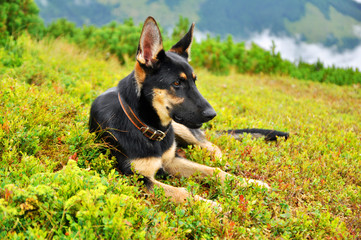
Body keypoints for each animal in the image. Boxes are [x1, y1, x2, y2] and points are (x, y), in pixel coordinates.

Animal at [88, 16, 286, 207]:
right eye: (177, 83)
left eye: (194, 81)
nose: (212, 114)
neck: (145, 125)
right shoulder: (137, 177)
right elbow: (180, 192)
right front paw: (207, 205)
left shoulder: (172, 160)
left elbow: (212, 170)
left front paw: (249, 183)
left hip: (182, 128)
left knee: (211, 146)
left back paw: (221, 160)